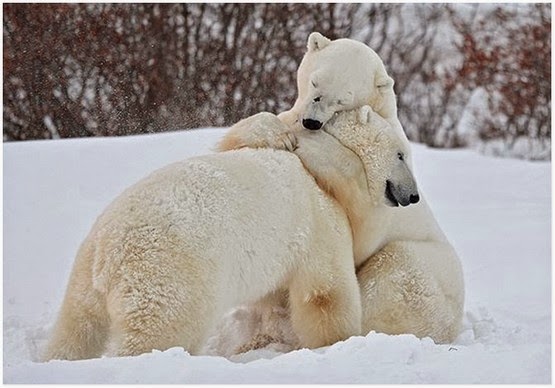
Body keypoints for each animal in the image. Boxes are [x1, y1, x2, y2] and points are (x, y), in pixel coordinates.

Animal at [44, 134, 426, 360]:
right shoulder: (319, 224)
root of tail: (111, 252)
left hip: (83, 275)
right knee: (160, 331)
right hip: (170, 274)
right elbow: (325, 293)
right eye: (401, 155)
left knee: (77, 327)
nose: (413, 195)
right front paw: (336, 343)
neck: (323, 177)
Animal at [218, 32, 464, 346]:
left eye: (343, 99)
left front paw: (302, 140)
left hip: (426, 271)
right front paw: (278, 132)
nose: (311, 121)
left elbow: (361, 223)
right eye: (314, 82)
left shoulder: (381, 187)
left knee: (394, 271)